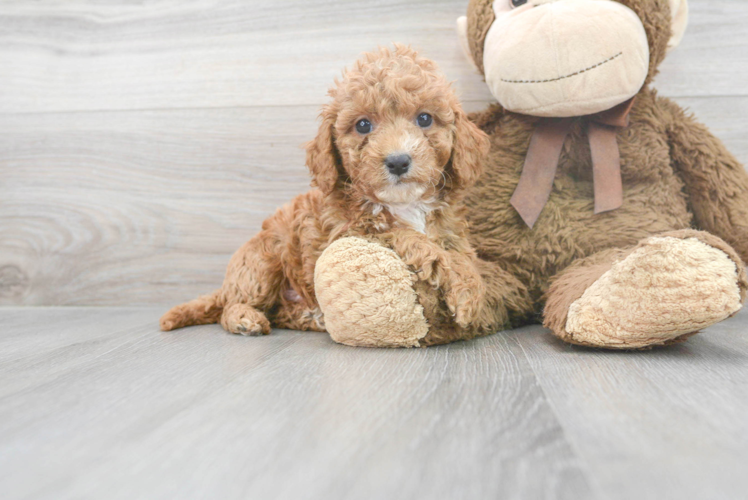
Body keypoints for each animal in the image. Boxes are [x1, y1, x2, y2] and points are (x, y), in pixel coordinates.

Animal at [159, 46, 490, 336]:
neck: (404, 204)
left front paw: (471, 289)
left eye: (424, 118)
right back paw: (244, 318)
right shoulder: (349, 233)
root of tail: (226, 286)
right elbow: (409, 237)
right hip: (263, 260)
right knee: (233, 306)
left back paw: (310, 317)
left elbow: (461, 257)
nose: (398, 161)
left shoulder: (450, 233)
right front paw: (462, 291)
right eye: (363, 125)